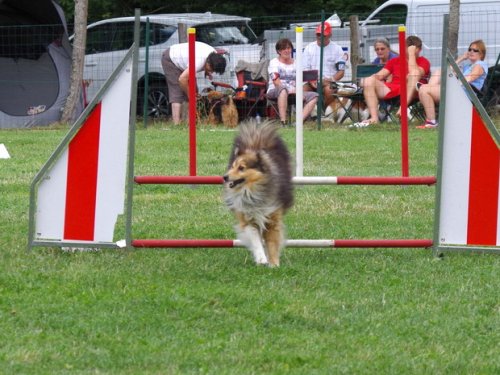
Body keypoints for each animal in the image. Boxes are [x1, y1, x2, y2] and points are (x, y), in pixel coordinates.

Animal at [223, 121, 292, 268]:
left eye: (241, 168)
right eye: (232, 166)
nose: (224, 177)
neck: (252, 191)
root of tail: (255, 141)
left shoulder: (272, 217)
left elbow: (272, 242)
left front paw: (274, 263)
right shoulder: (247, 217)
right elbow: (255, 239)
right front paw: (261, 259)